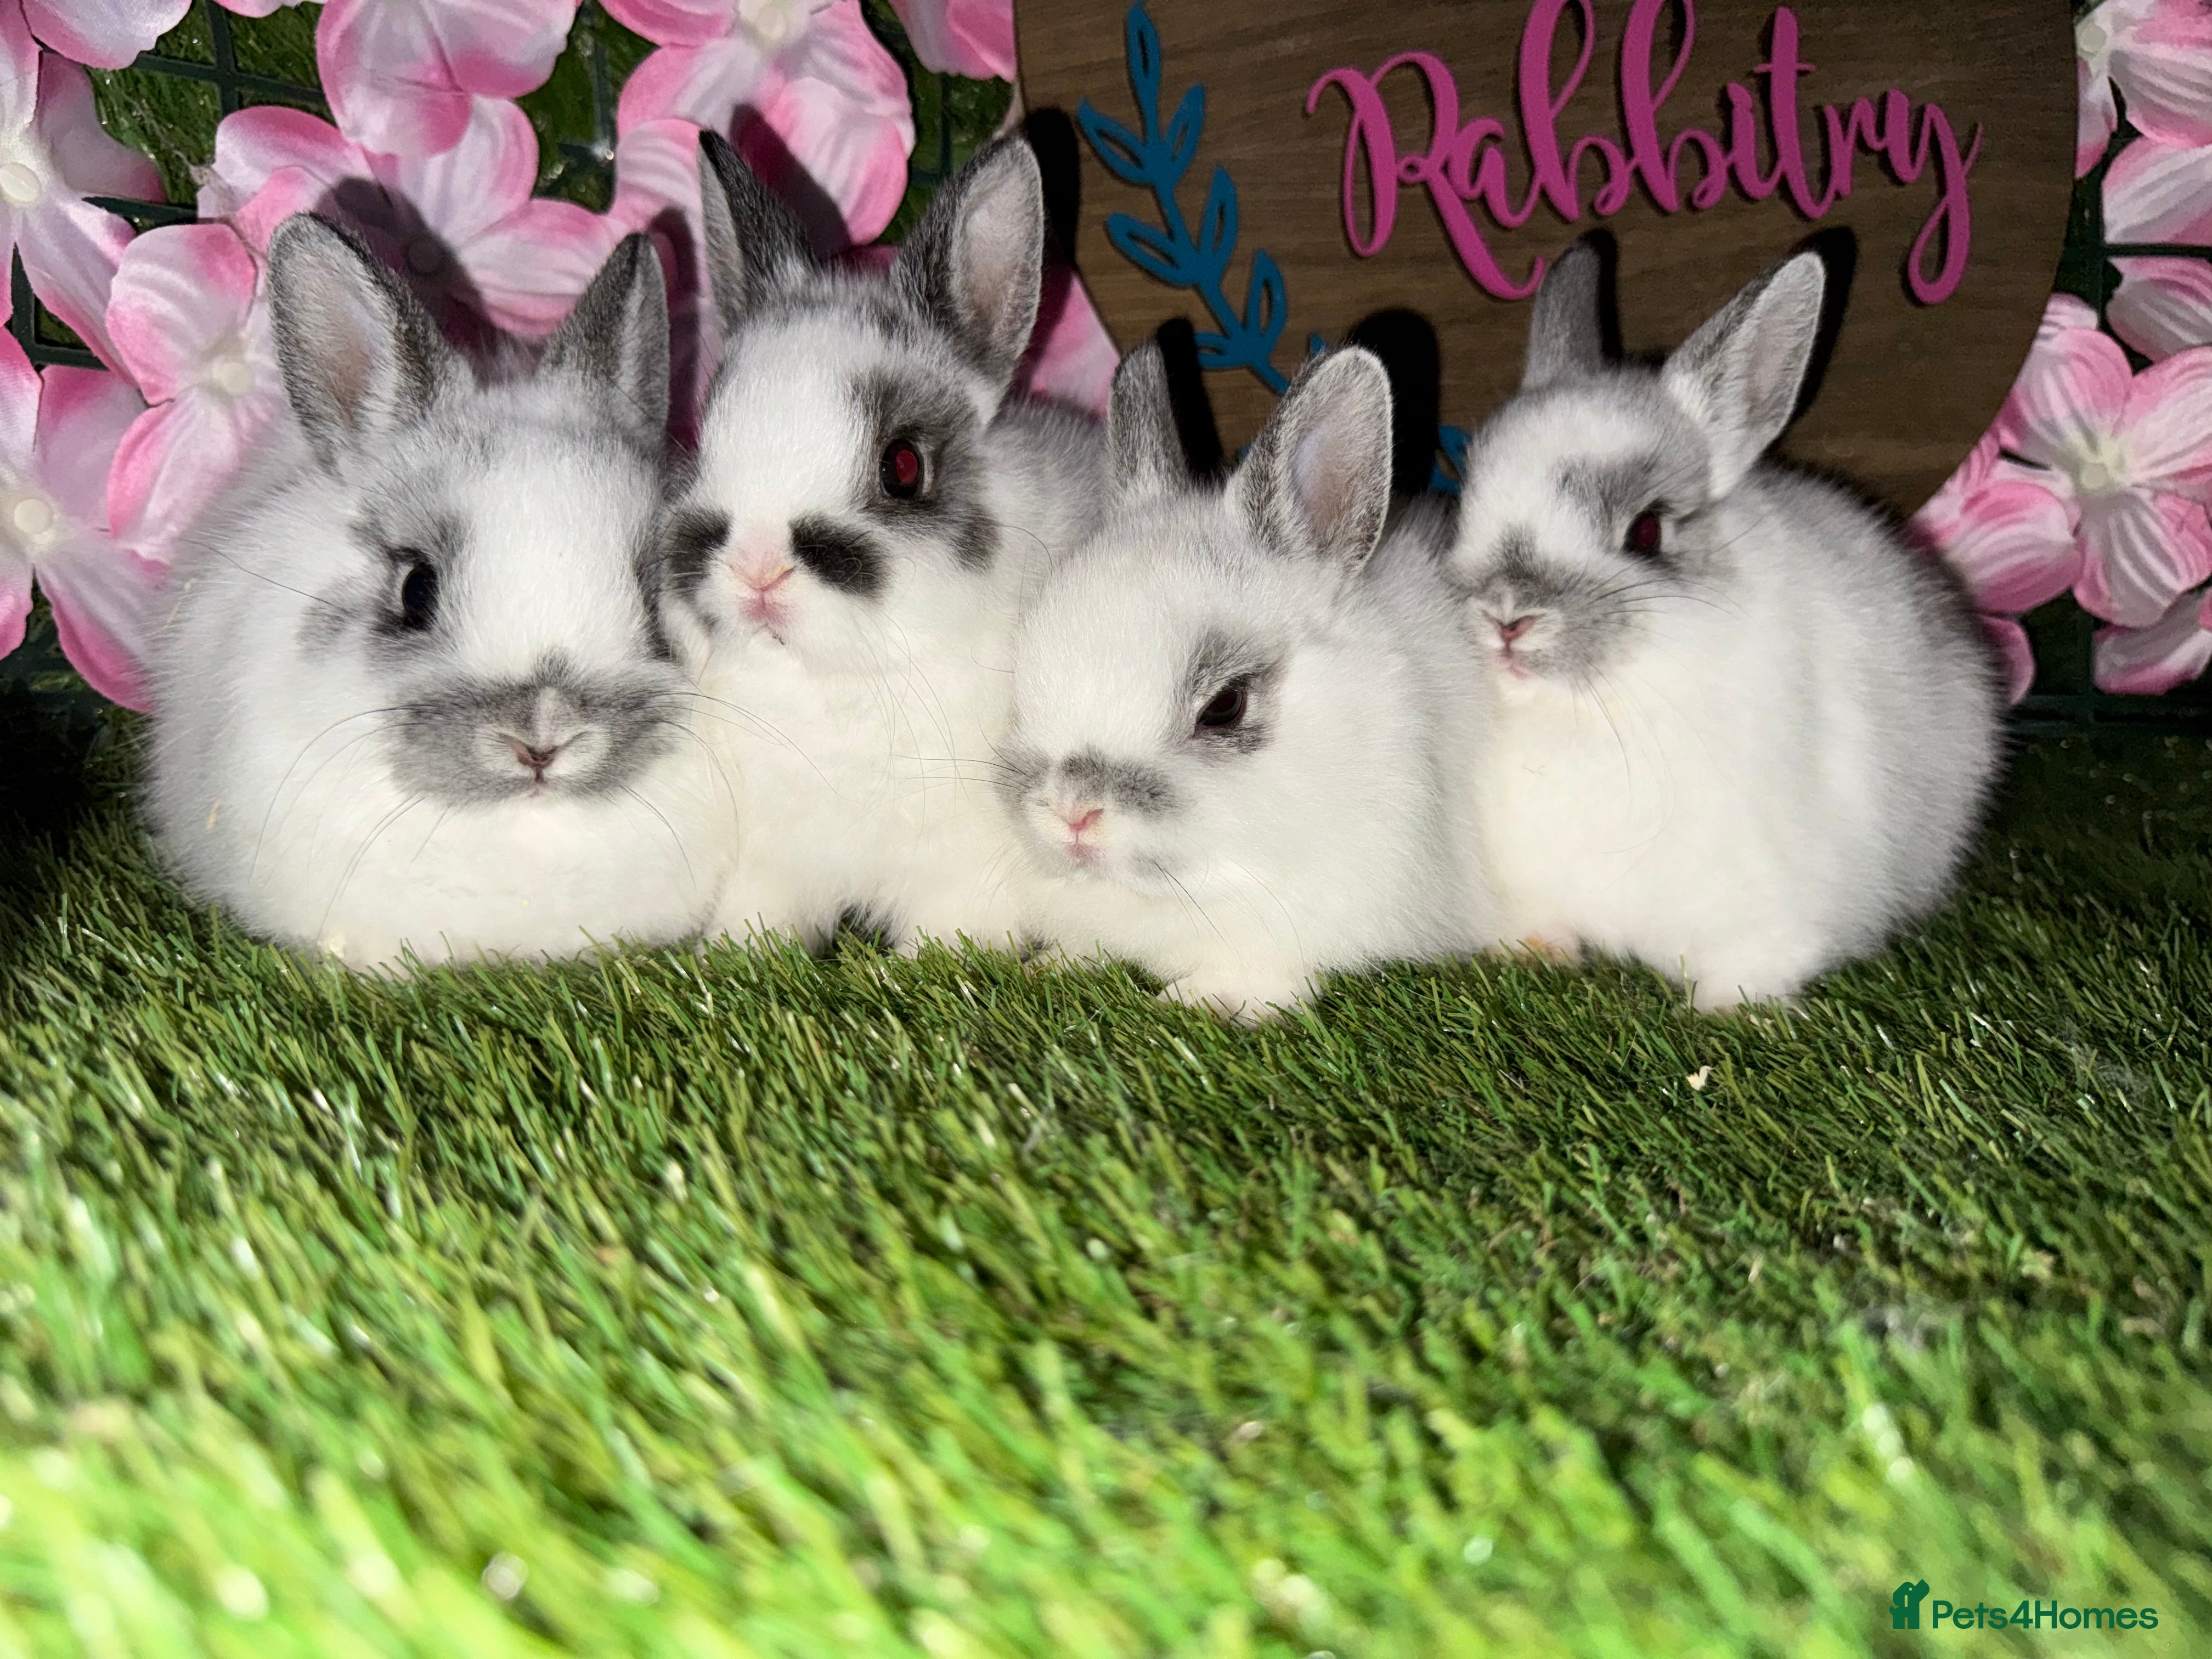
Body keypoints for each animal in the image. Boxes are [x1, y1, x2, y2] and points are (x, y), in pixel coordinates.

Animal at [661, 131, 1106, 958]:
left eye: (902, 467)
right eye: (706, 441)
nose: (757, 571)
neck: (843, 679)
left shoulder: (968, 869)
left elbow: (950, 934)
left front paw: (914, 967)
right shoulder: (777, 855)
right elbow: (762, 913)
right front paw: (733, 953)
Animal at [1442, 240, 2005, 1011]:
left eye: (1646, 531)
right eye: (1468, 505)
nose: (1506, 615)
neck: (1593, 708)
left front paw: (1735, 1011)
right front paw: (1536, 955)